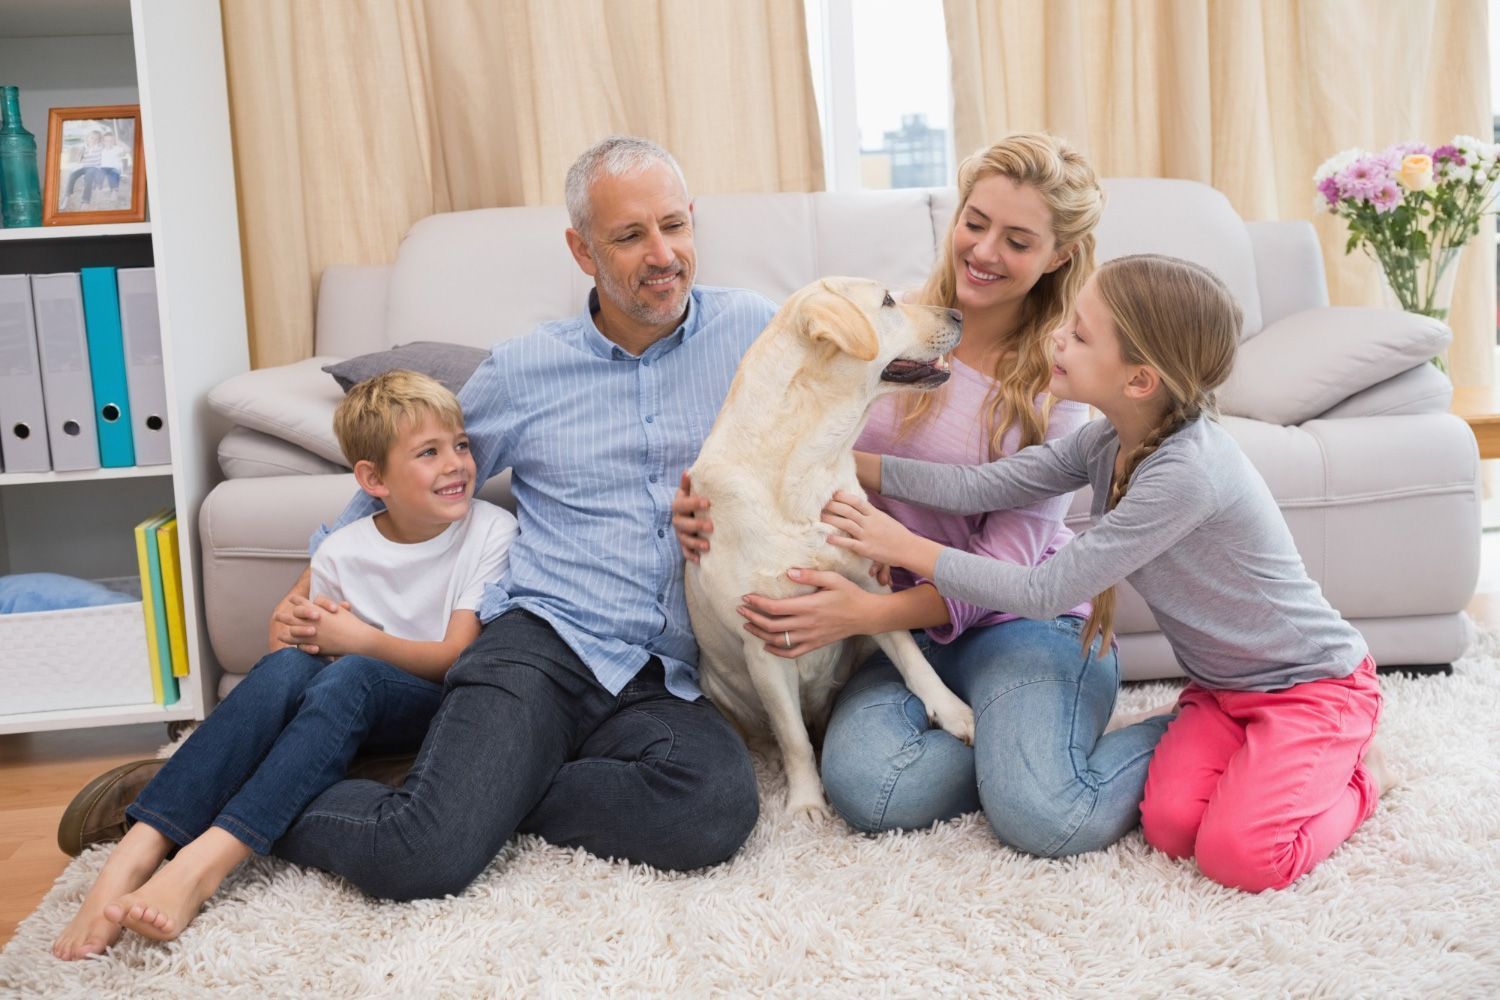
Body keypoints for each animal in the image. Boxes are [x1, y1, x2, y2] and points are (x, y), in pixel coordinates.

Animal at [687, 275, 978, 821]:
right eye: (887, 301)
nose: (958, 314)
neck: (804, 463)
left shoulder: (871, 590)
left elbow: (914, 659)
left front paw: (952, 712)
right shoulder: (765, 641)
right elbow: (794, 739)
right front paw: (805, 802)